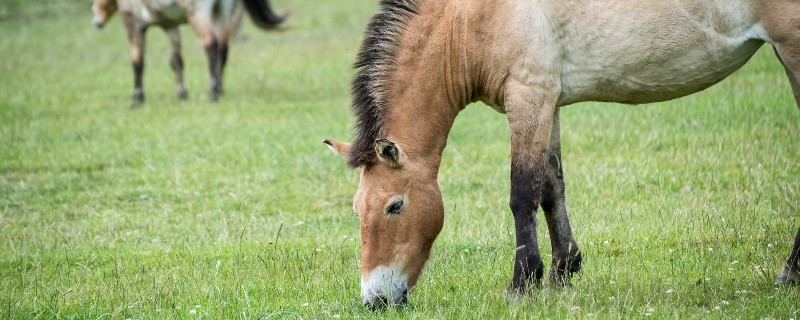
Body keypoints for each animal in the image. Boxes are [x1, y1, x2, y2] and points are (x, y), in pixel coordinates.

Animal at [92, 0, 286, 104]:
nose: (96, 23)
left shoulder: (132, 22)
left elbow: (137, 62)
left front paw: (137, 98)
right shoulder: (170, 26)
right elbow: (176, 61)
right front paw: (182, 94)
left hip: (198, 13)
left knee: (210, 45)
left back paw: (213, 93)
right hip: (223, 12)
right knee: (223, 50)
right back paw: (220, 89)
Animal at [324, 0, 800, 310]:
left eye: (395, 206)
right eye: (356, 209)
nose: (375, 299)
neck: (472, 15)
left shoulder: (528, 96)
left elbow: (522, 194)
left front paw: (523, 284)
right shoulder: (548, 103)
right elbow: (551, 188)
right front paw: (562, 272)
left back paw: (789, 272)